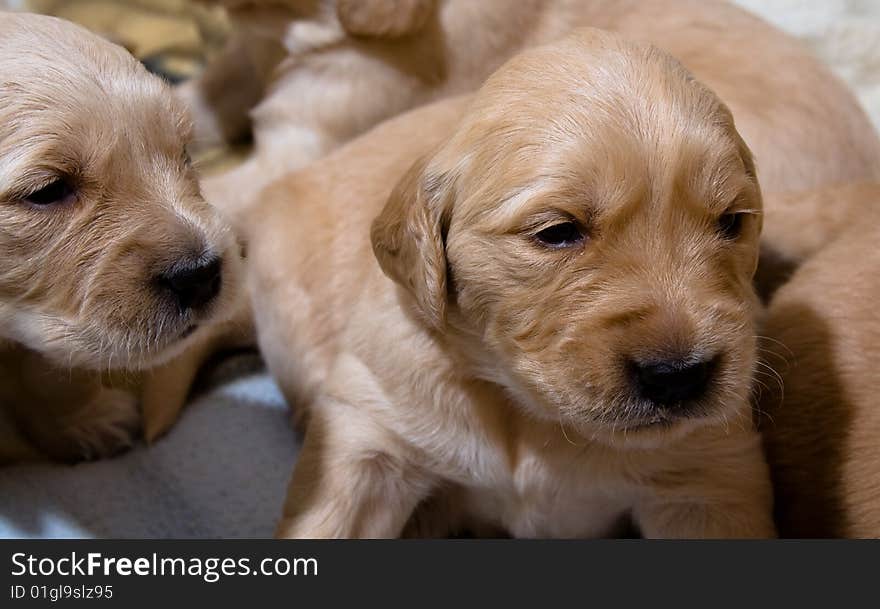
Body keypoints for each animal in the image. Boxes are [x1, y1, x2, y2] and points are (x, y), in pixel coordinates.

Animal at [244, 29, 772, 536]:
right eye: (557, 232)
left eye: (731, 221)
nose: (679, 374)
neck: (527, 414)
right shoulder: (370, 431)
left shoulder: (708, 480)